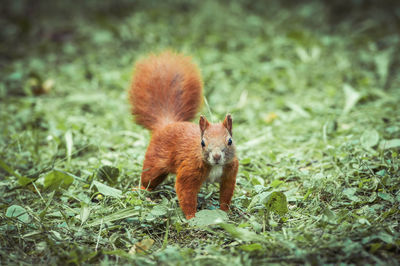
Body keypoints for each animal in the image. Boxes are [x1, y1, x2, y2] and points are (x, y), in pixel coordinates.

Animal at [130, 51, 239, 219]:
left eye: (230, 141)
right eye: (202, 143)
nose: (216, 156)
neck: (215, 166)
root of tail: (167, 124)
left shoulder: (230, 173)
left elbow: (226, 193)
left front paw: (224, 212)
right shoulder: (189, 171)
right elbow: (185, 192)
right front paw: (191, 217)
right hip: (154, 162)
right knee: (149, 179)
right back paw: (141, 190)